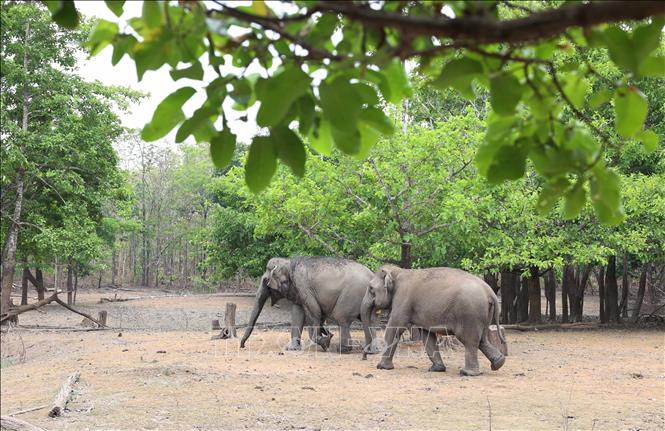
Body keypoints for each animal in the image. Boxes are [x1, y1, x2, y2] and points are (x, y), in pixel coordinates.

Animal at [240, 256, 380, 353]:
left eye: (265, 281)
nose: (242, 346)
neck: (289, 262)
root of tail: (372, 276)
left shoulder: (303, 285)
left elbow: (314, 311)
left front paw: (325, 341)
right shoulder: (297, 290)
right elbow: (298, 313)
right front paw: (292, 349)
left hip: (352, 293)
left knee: (341, 318)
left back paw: (343, 350)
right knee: (370, 320)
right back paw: (372, 350)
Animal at [361, 265, 507, 376]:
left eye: (371, 288)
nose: (364, 357)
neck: (399, 271)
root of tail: (490, 292)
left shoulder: (403, 299)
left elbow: (395, 327)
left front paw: (381, 367)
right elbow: (427, 336)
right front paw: (437, 369)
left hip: (470, 313)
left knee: (469, 340)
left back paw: (467, 373)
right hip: (483, 314)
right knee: (482, 339)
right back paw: (499, 363)